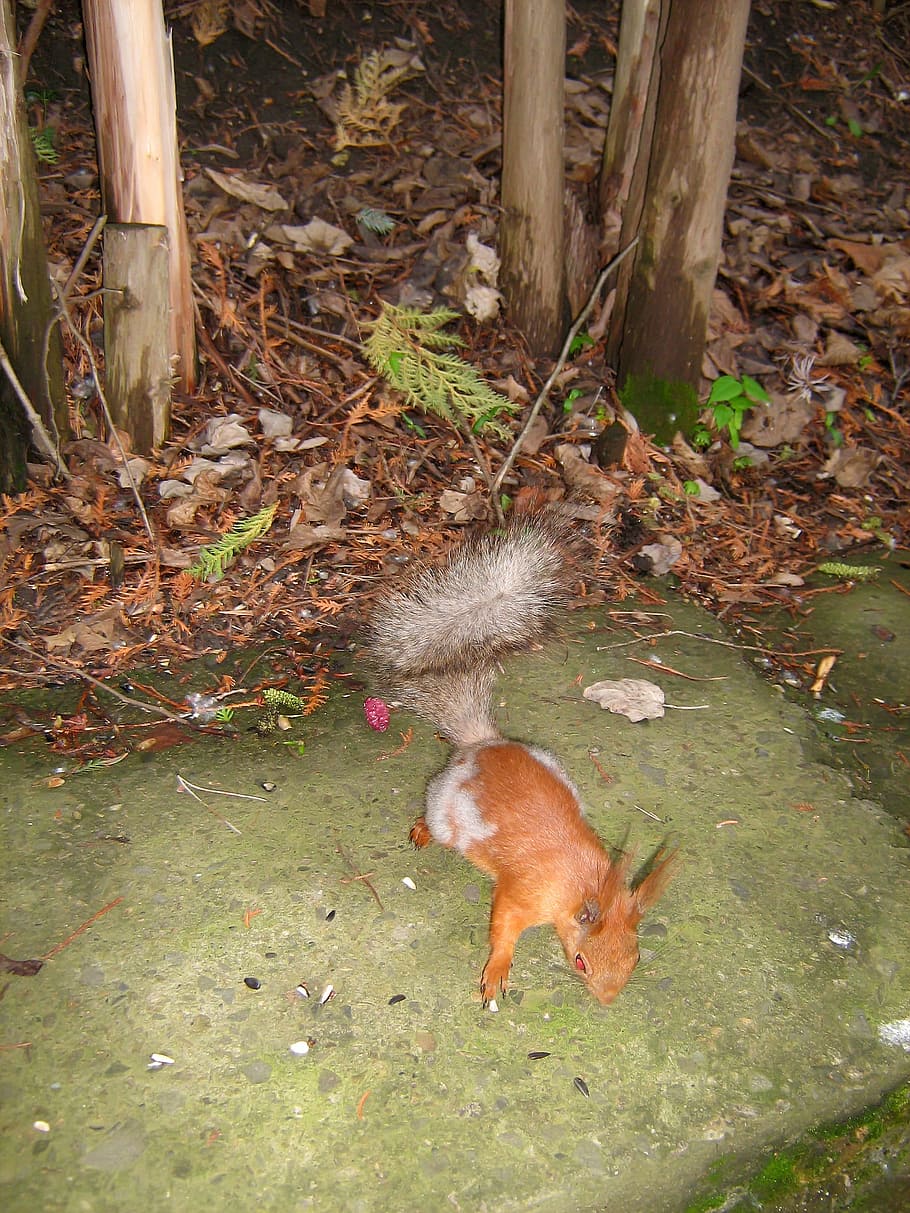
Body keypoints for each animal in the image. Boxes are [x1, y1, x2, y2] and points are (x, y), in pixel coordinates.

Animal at [365, 513, 677, 1007]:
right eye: (581, 961)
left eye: (636, 957)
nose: (607, 1001)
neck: (583, 884)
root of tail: (482, 744)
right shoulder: (522, 895)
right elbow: (503, 927)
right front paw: (497, 971)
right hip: (446, 808)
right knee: (433, 821)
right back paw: (423, 831)